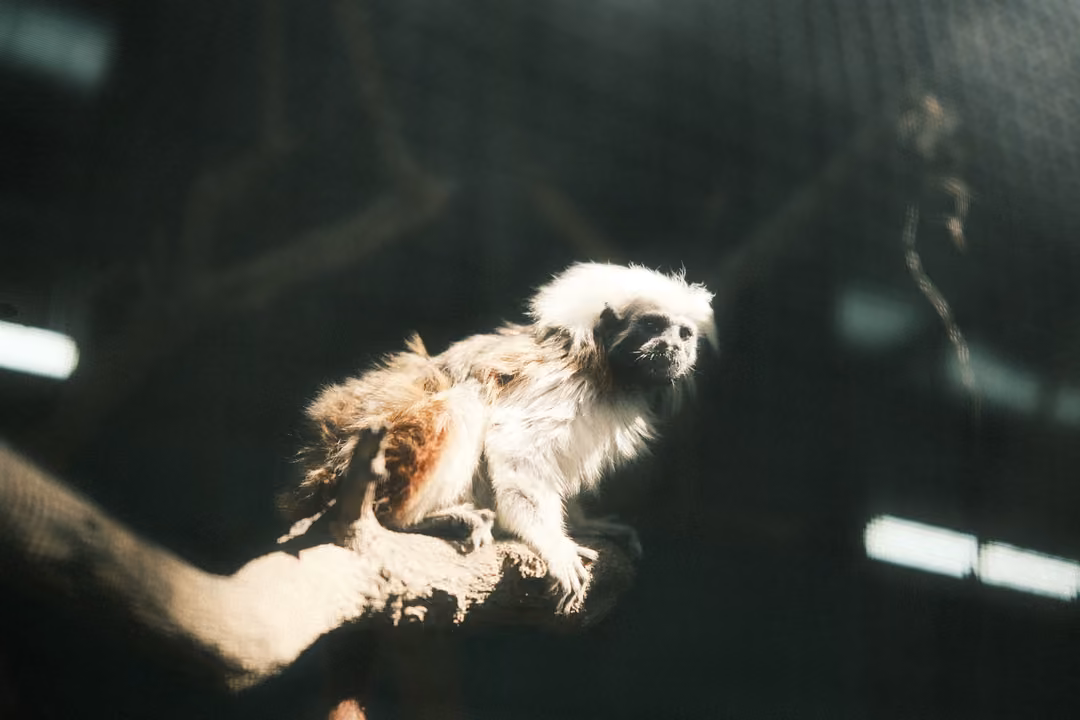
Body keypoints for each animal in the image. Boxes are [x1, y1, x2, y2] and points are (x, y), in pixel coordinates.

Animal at [286, 262, 716, 611]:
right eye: (652, 325)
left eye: (684, 334)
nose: (671, 346)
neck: (607, 370)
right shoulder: (562, 386)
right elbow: (517, 455)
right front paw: (553, 543)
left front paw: (585, 523)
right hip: (391, 450)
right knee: (466, 401)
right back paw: (413, 519)